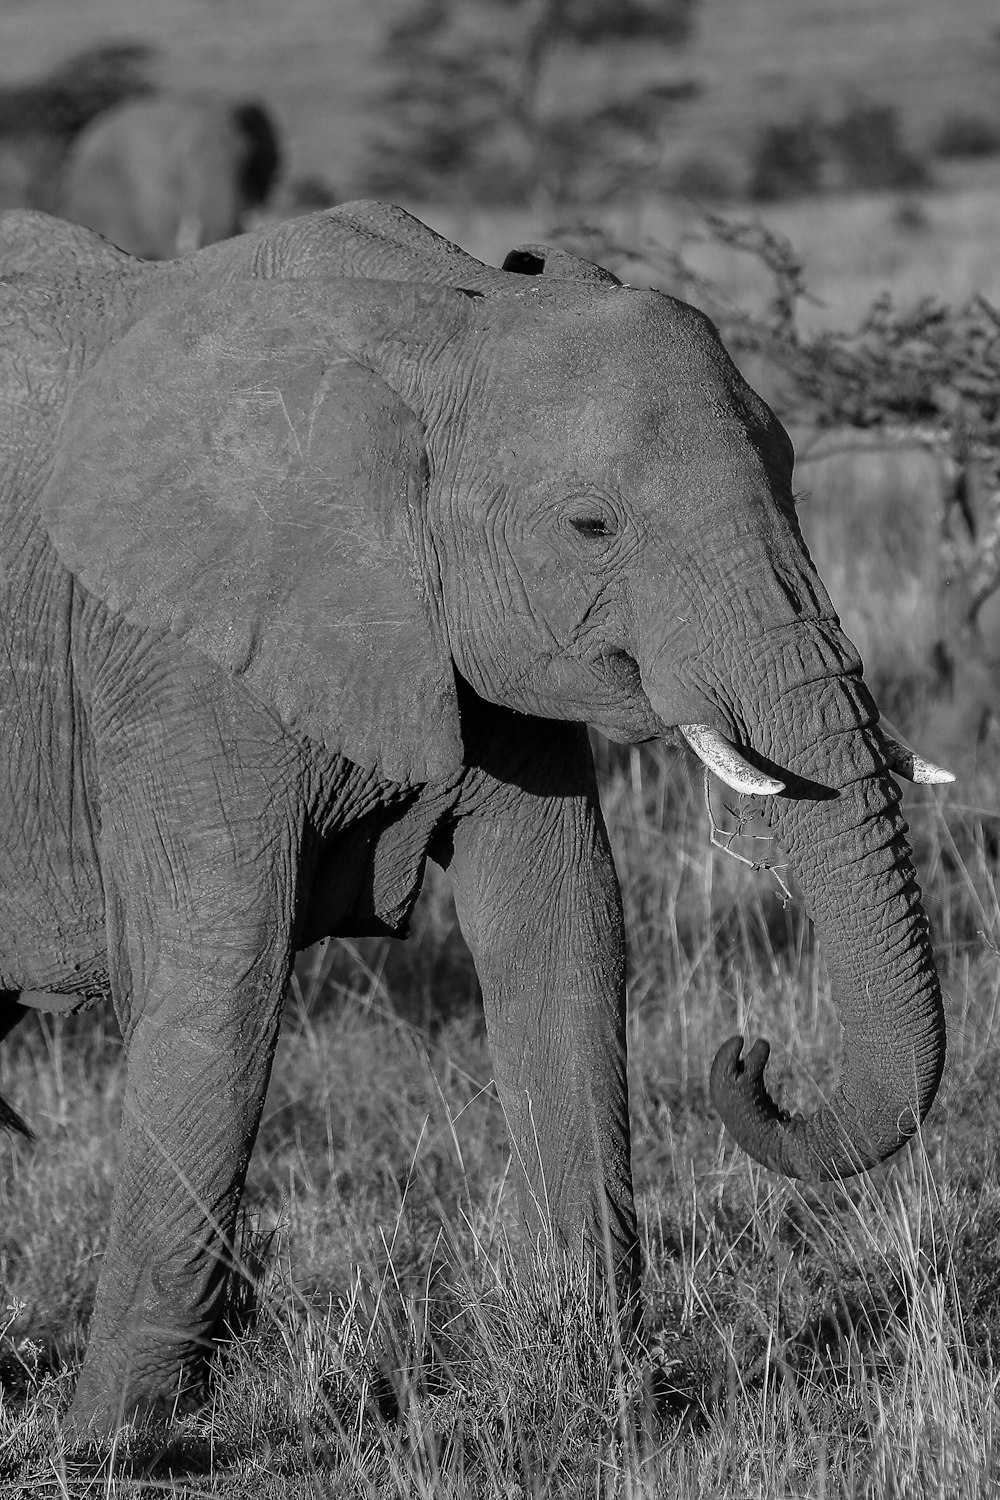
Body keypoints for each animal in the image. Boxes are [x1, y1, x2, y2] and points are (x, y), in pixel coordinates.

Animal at [0, 196, 953, 1428]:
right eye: (590, 528)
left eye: (792, 471)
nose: (749, 1055)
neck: (445, 324)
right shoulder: (175, 653)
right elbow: (223, 968)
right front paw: (118, 1440)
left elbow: (560, 927)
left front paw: (604, 1389)